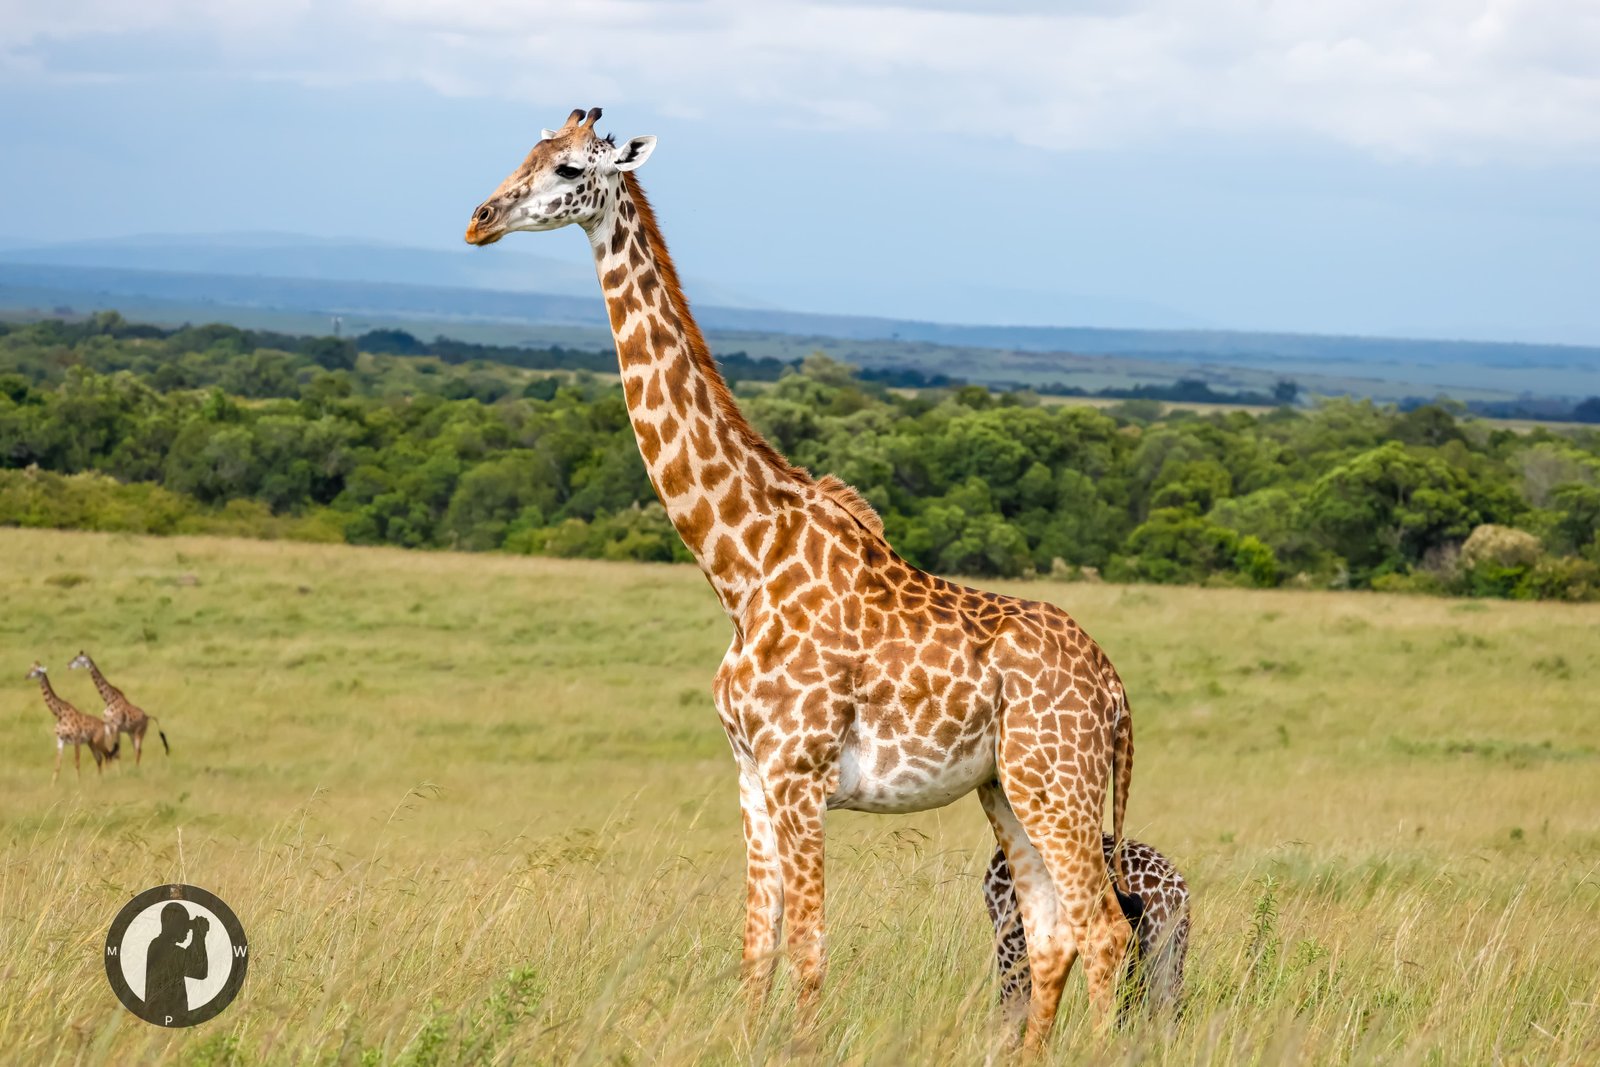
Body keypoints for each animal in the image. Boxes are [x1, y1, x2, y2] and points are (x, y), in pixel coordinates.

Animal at [465, 107, 1137, 1047]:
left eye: (568, 167)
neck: (742, 564)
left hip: (1056, 781)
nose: (480, 219)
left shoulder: (799, 775)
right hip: (1007, 787)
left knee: (1104, 928)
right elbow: (757, 947)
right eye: (523, 150)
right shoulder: (751, 774)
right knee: (1051, 931)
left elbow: (811, 952)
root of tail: (1115, 687)